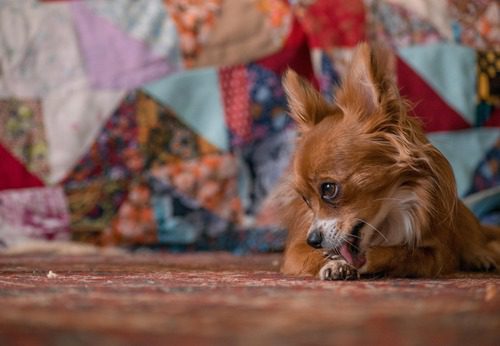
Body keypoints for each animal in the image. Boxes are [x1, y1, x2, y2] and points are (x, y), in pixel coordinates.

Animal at [280, 42, 500, 280]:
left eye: (329, 189)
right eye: (305, 200)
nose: (313, 240)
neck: (387, 220)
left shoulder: (439, 254)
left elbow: (403, 253)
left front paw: (364, 259)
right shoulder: (294, 254)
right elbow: (314, 257)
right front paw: (337, 263)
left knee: (477, 240)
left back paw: (481, 256)